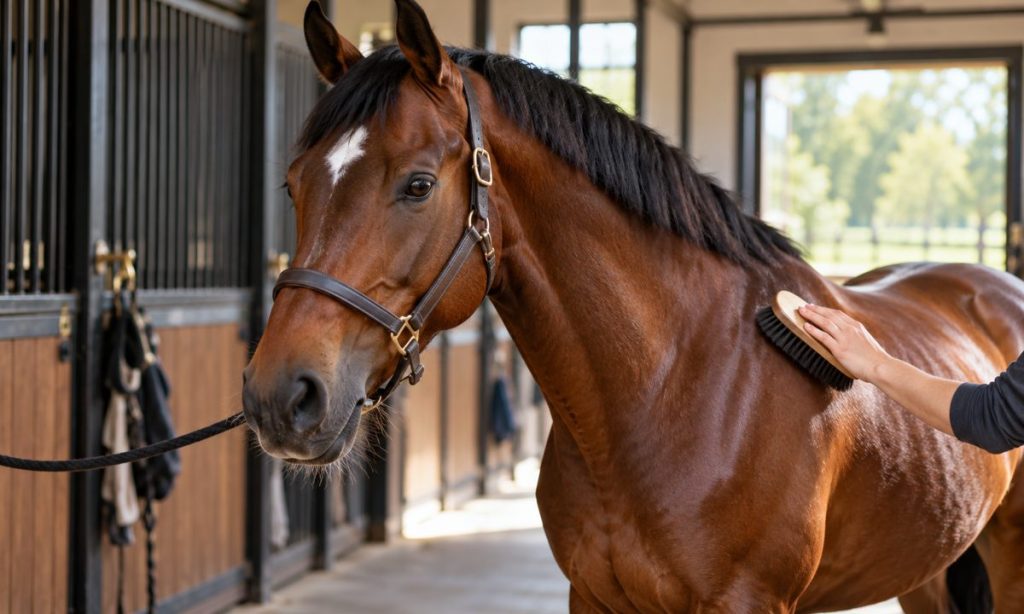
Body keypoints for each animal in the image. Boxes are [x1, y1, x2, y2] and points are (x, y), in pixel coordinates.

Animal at [241, 1, 1024, 610]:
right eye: (291, 185)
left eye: (418, 185)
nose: (283, 396)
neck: (667, 387)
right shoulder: (592, 596)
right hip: (927, 571)